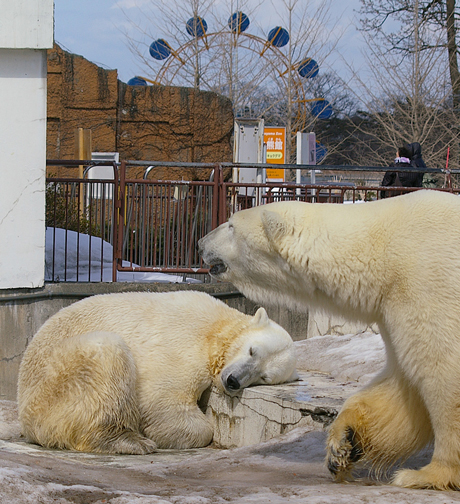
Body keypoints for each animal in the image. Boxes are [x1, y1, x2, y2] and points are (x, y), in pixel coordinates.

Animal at [18, 290, 296, 454]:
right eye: (251, 350)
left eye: (264, 377)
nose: (233, 381)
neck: (217, 329)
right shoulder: (183, 344)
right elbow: (165, 400)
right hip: (54, 384)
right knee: (108, 352)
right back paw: (129, 441)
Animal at [200, 191, 460, 490]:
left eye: (231, 225)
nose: (201, 243)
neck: (379, 252)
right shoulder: (392, 307)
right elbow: (402, 384)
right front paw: (343, 443)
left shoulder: (427, 285)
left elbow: (444, 373)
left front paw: (429, 474)